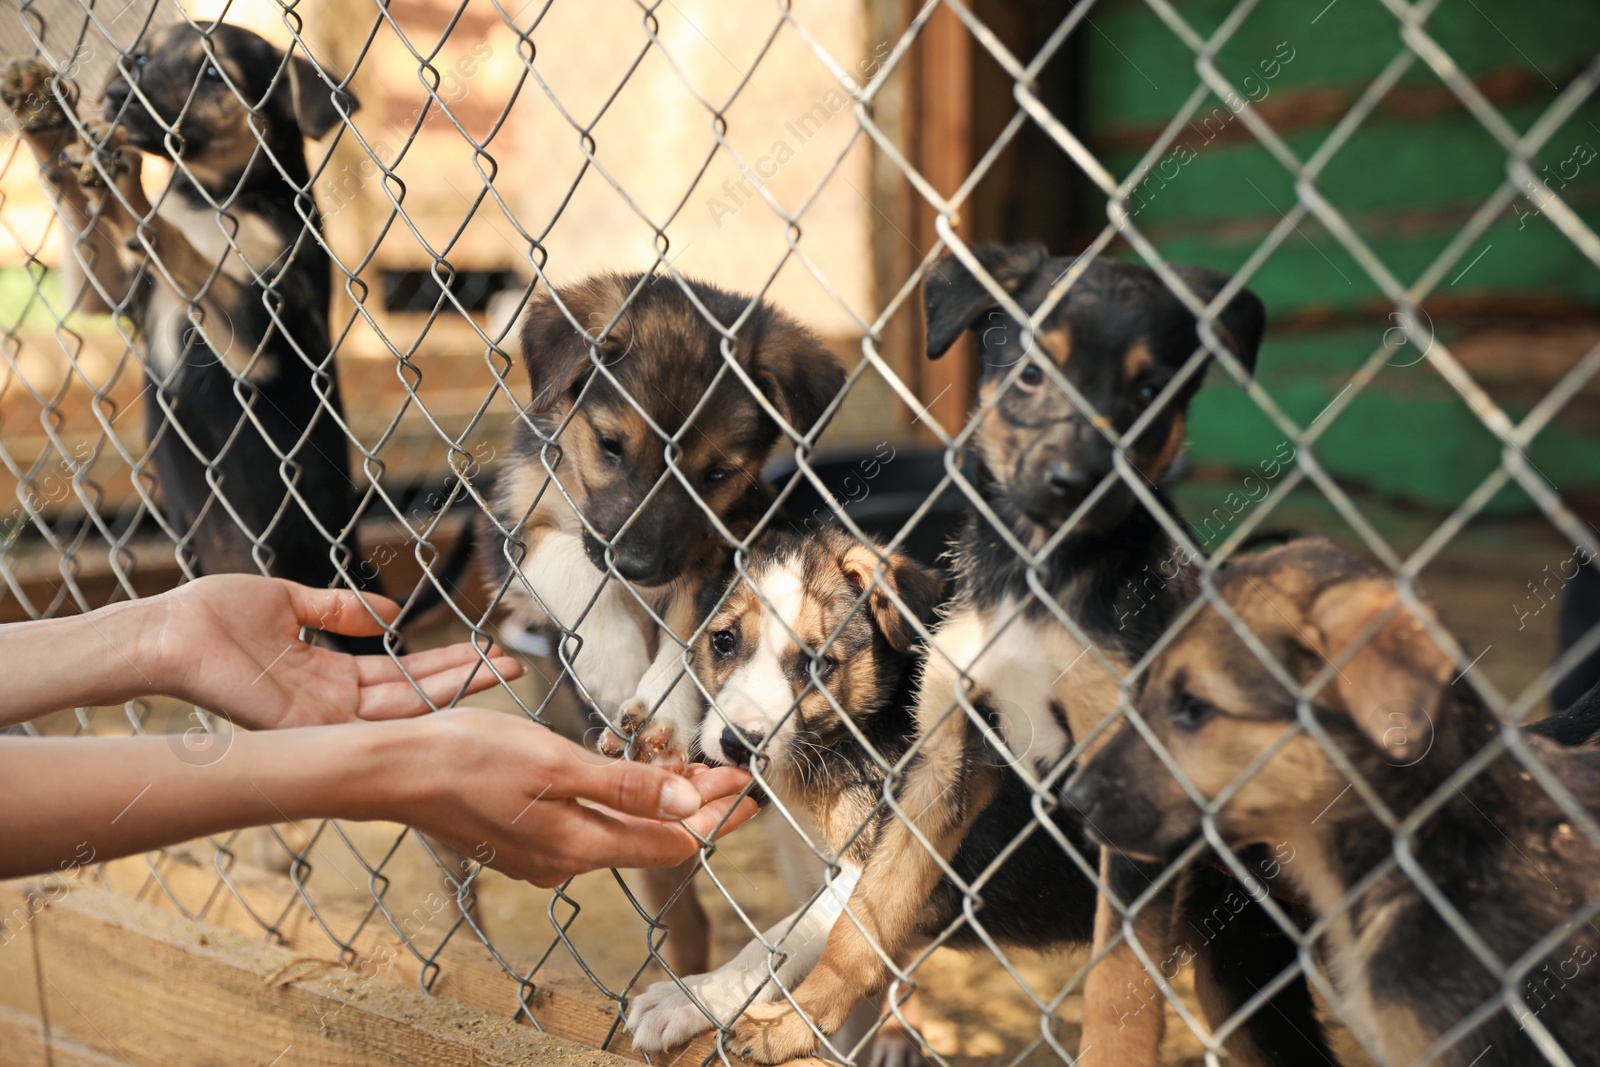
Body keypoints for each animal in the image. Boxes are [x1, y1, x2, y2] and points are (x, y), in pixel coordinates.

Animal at [476, 268, 844, 979]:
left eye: (717, 473)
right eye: (611, 446)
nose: (638, 565)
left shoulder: (720, 553)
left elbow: (686, 636)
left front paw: (662, 715)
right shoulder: (513, 532)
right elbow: (575, 564)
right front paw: (615, 666)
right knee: (683, 916)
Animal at [723, 244, 1324, 1067]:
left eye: (1148, 391)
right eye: (1033, 372)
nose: (1075, 482)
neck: (1040, 578)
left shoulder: (1132, 787)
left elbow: (1119, 982)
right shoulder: (945, 758)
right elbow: (866, 916)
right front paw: (796, 1018)